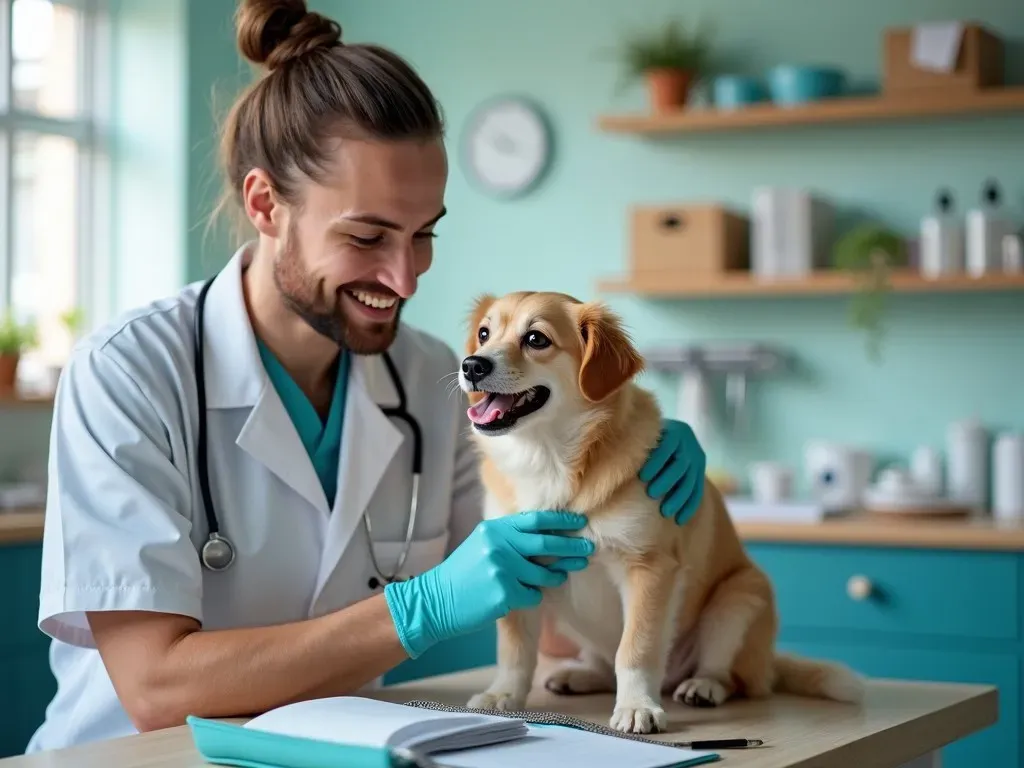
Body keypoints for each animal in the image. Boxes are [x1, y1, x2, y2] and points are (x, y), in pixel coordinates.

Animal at [458, 290, 864, 737]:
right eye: (484, 334)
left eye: (536, 338)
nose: (472, 365)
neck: (550, 460)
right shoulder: (514, 562)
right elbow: (515, 649)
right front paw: (502, 695)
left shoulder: (649, 568)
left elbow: (636, 649)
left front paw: (638, 706)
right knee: (604, 663)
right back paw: (580, 674)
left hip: (739, 599)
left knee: (730, 677)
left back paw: (702, 686)